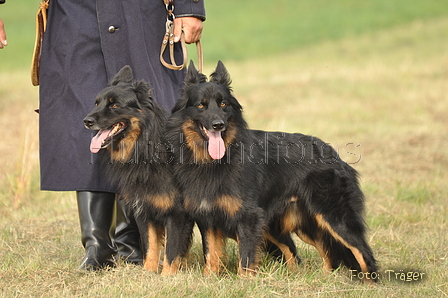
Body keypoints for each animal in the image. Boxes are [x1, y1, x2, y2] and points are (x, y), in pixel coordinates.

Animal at [84, 66, 192, 276]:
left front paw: (167, 276)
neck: (146, 148)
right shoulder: (144, 211)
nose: (86, 121)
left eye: (115, 105)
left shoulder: (176, 214)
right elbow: (150, 246)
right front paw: (148, 273)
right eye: (96, 103)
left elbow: (171, 250)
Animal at [165, 61, 378, 280]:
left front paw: (245, 281)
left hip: (334, 218)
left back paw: (369, 282)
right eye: (201, 105)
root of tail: (336, 156)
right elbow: (211, 254)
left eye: (223, 104)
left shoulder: (249, 217)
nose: (218, 125)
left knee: (362, 251)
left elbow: (246, 258)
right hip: (298, 225)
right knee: (314, 253)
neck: (213, 162)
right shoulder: (208, 218)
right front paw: (210, 278)